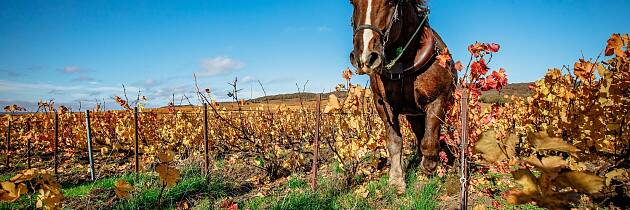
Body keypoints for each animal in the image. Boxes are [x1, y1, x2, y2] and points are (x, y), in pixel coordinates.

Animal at [348, 0, 456, 192]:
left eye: (390, 2)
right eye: (352, 3)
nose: (364, 57)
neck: (403, 63)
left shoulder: (438, 101)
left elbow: (430, 142)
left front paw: (427, 172)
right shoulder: (383, 104)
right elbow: (395, 142)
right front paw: (397, 179)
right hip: (414, 114)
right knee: (419, 133)